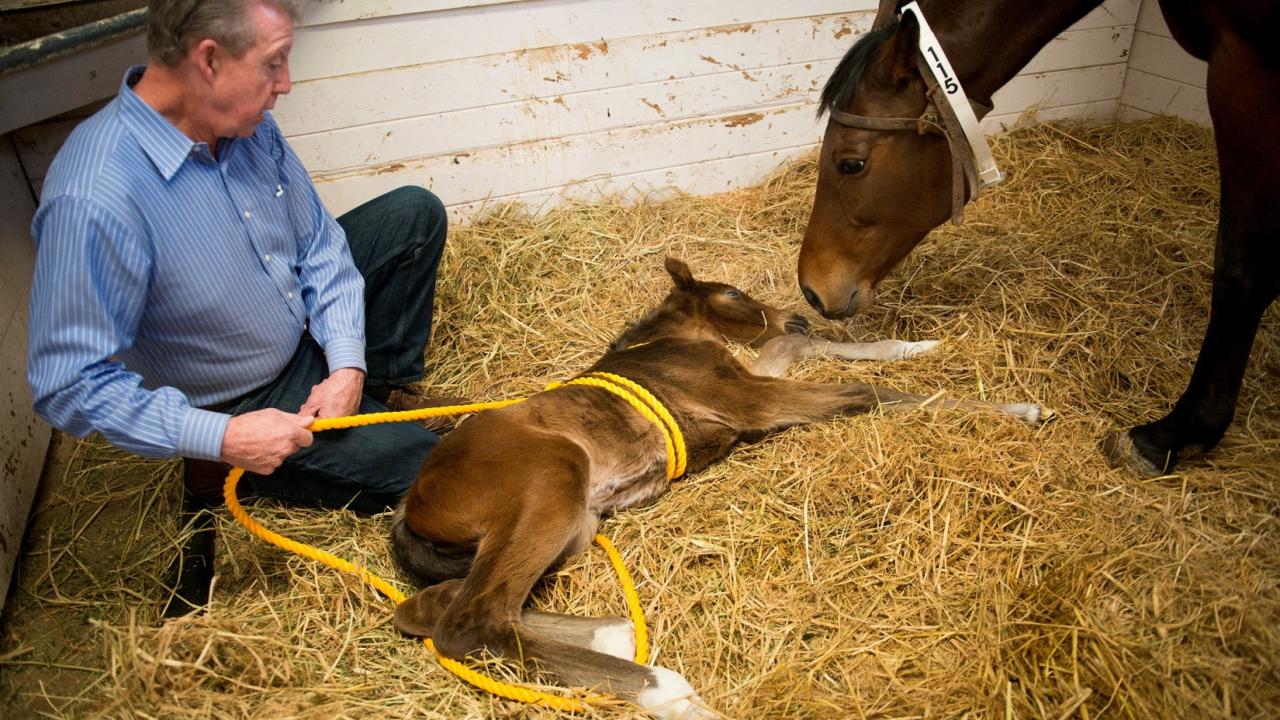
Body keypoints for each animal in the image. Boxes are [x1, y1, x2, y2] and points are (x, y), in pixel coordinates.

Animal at [389, 254, 1039, 712]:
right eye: (731, 293)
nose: (796, 312)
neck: (672, 346)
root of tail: (410, 505)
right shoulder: (749, 401)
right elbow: (865, 394)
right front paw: (1020, 409)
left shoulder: (750, 385)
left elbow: (805, 349)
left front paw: (914, 343)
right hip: (555, 479)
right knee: (472, 619)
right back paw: (666, 690)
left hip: (574, 524)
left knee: (436, 605)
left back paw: (613, 635)